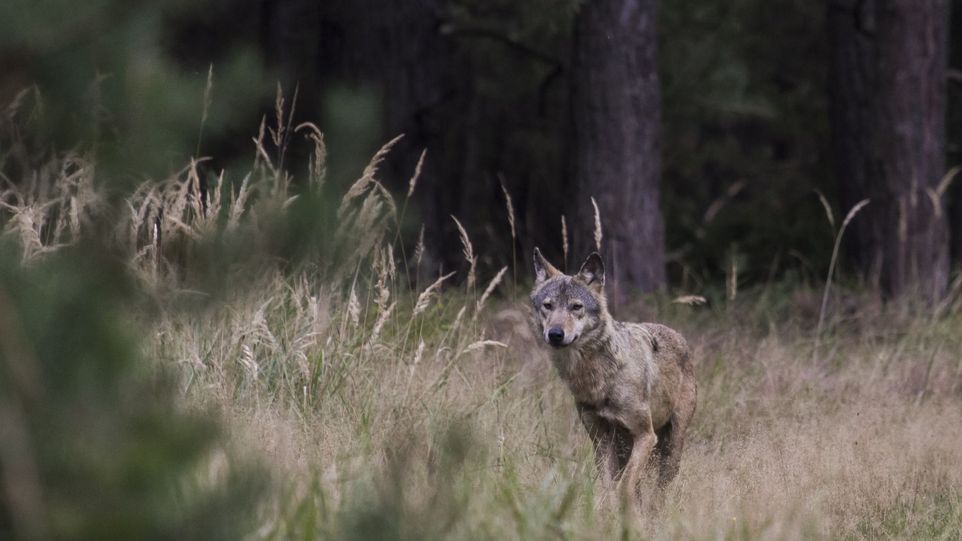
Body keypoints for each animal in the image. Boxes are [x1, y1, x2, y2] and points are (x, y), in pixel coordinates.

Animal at [530, 248, 697, 501]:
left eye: (576, 307)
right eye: (548, 306)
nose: (555, 334)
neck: (598, 378)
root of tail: (678, 336)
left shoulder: (645, 436)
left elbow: (624, 486)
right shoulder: (600, 439)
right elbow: (608, 488)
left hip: (670, 448)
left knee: (659, 489)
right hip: (623, 446)